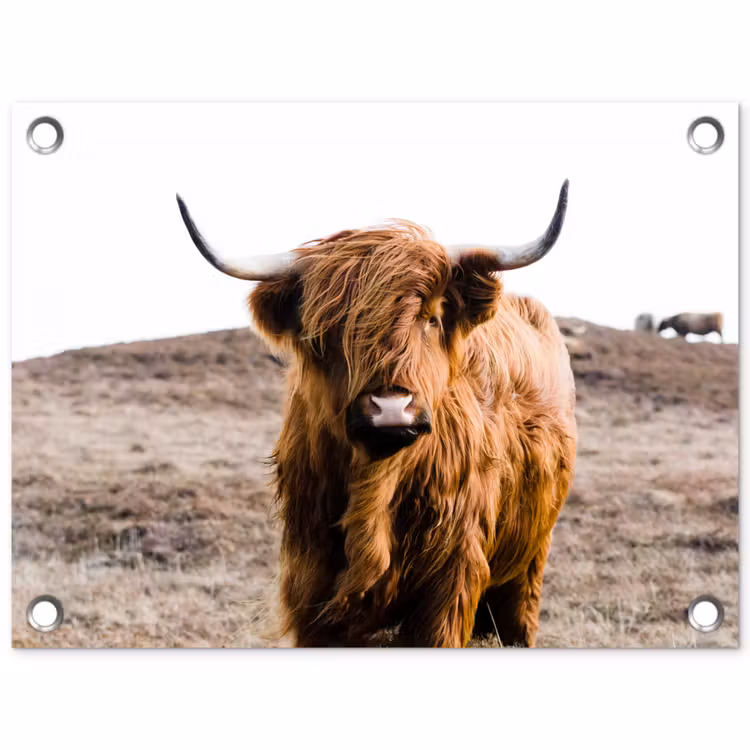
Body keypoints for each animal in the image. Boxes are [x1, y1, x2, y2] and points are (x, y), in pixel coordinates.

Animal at [176, 181, 577, 648]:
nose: (391, 408)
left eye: (432, 318)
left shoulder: (451, 583)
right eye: (325, 331)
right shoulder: (310, 584)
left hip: (528, 564)